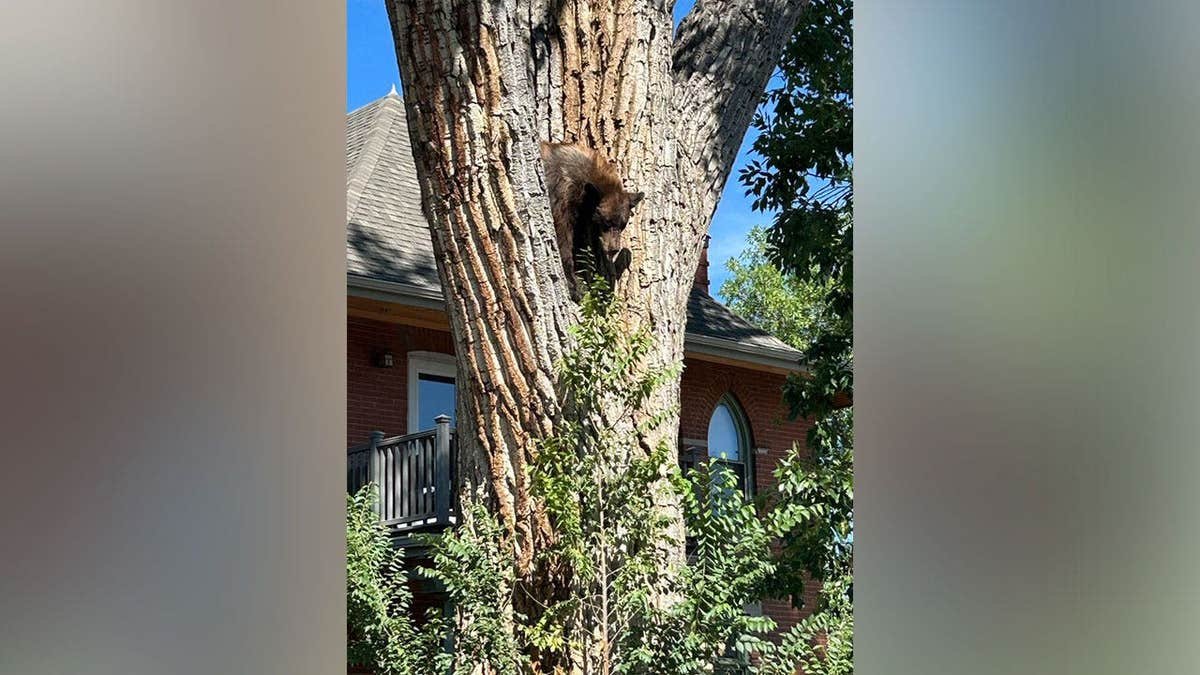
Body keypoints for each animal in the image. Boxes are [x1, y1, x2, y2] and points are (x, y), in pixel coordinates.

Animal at [540, 142, 643, 299]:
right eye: (606, 223)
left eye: (622, 225)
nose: (613, 249)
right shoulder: (560, 196)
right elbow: (563, 238)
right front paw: (574, 286)